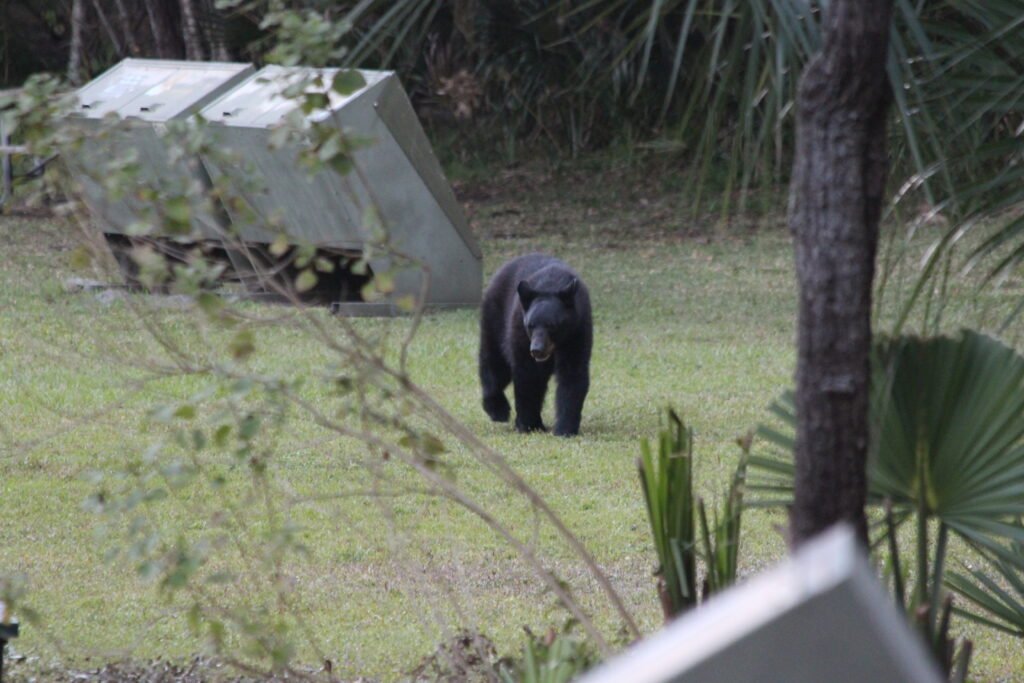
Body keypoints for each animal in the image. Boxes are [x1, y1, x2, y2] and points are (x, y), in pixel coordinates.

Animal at [478, 254, 592, 437]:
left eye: (552, 325)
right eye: (530, 325)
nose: (536, 349)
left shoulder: (577, 332)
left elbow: (572, 375)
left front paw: (565, 428)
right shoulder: (520, 332)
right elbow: (528, 375)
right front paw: (528, 424)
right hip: (495, 319)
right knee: (494, 362)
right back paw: (498, 410)